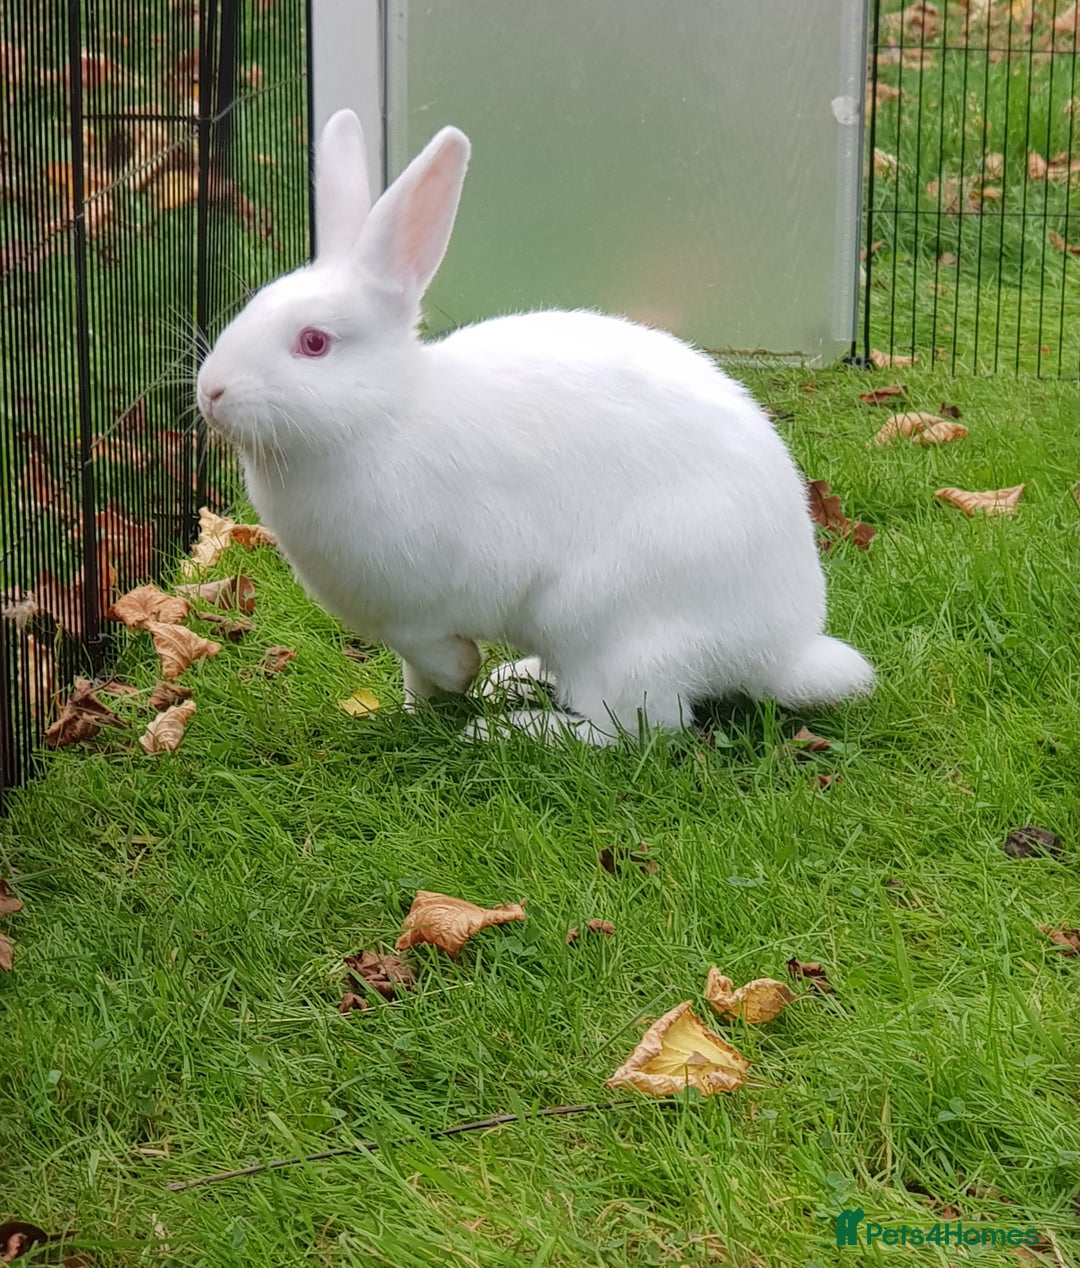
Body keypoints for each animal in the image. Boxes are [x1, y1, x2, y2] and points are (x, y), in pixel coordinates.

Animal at [196, 109, 875, 745]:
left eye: (313, 343)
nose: (210, 391)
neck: (382, 416)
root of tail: (780, 650)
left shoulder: (420, 610)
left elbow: (436, 654)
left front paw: (459, 682)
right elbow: (416, 673)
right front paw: (418, 709)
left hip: (611, 628)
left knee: (634, 728)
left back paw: (510, 727)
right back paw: (516, 678)